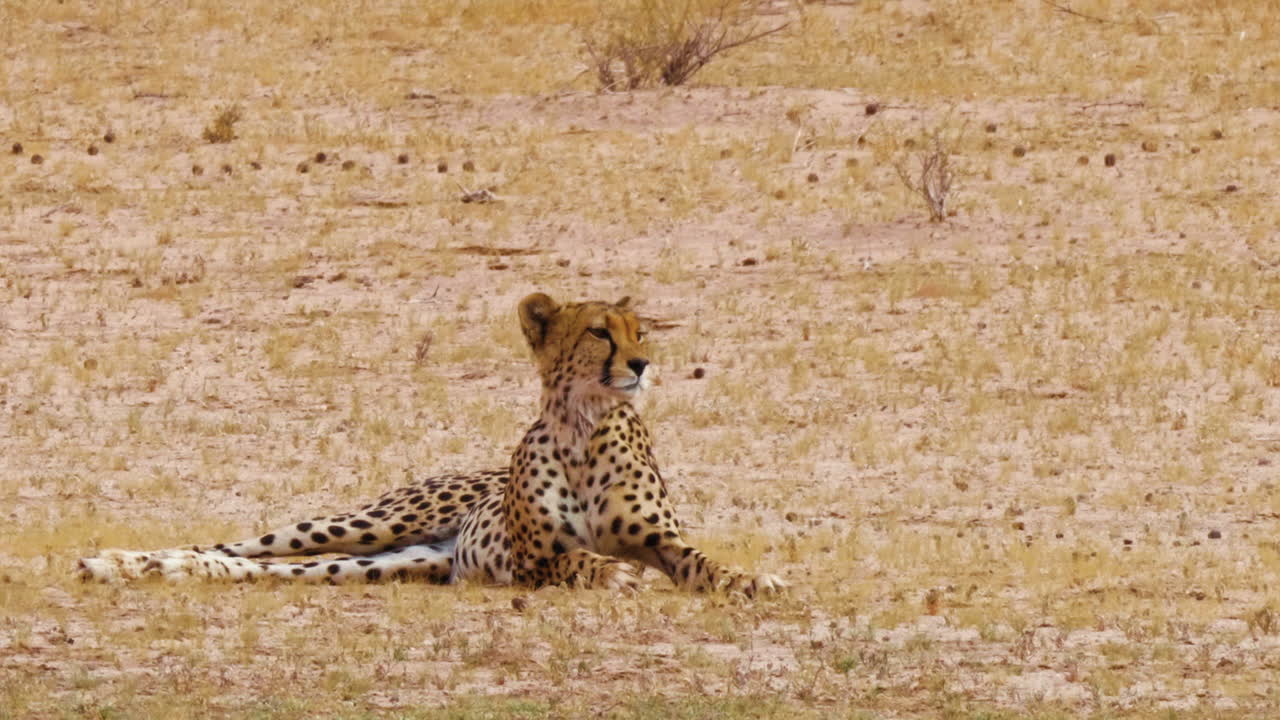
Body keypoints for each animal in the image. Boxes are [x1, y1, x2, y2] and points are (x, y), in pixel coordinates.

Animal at [78, 292, 785, 598]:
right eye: (598, 333)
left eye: (641, 332)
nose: (641, 364)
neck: (585, 422)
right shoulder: (533, 558)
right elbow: (579, 560)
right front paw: (614, 573)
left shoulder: (661, 540)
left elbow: (704, 562)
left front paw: (755, 579)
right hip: (367, 524)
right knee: (236, 545)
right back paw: (124, 562)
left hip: (393, 560)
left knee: (268, 568)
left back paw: (168, 571)